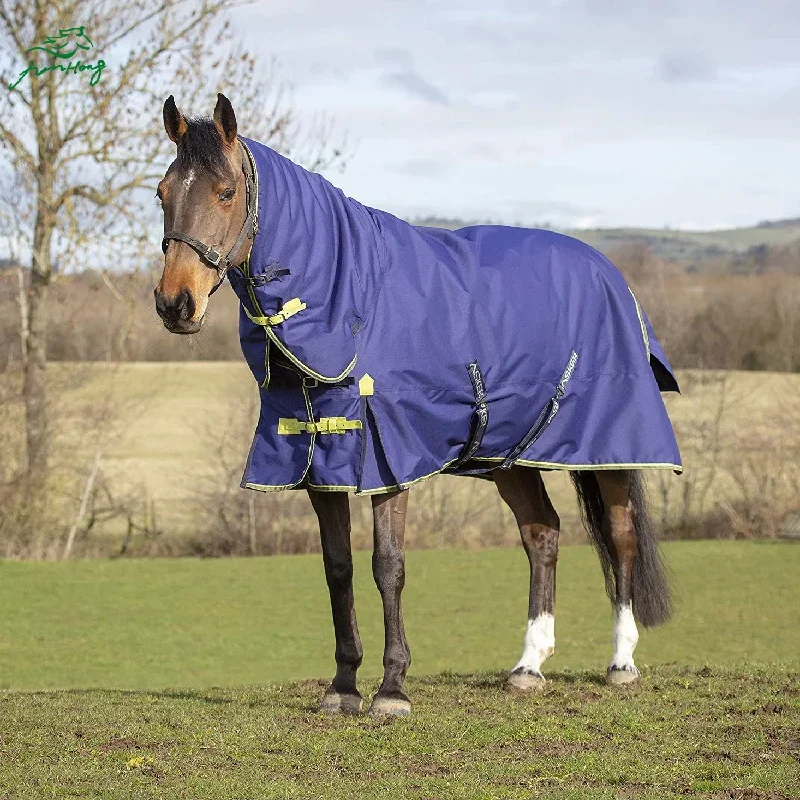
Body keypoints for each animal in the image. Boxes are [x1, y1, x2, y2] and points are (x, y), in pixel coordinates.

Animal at [153, 94, 680, 720]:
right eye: (162, 191)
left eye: (227, 192)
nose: (175, 304)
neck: (350, 301)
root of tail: (610, 274)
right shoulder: (318, 456)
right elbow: (337, 568)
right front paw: (342, 686)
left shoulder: (387, 457)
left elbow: (388, 566)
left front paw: (391, 689)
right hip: (510, 452)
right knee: (542, 534)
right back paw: (528, 667)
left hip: (613, 445)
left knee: (621, 536)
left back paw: (621, 663)